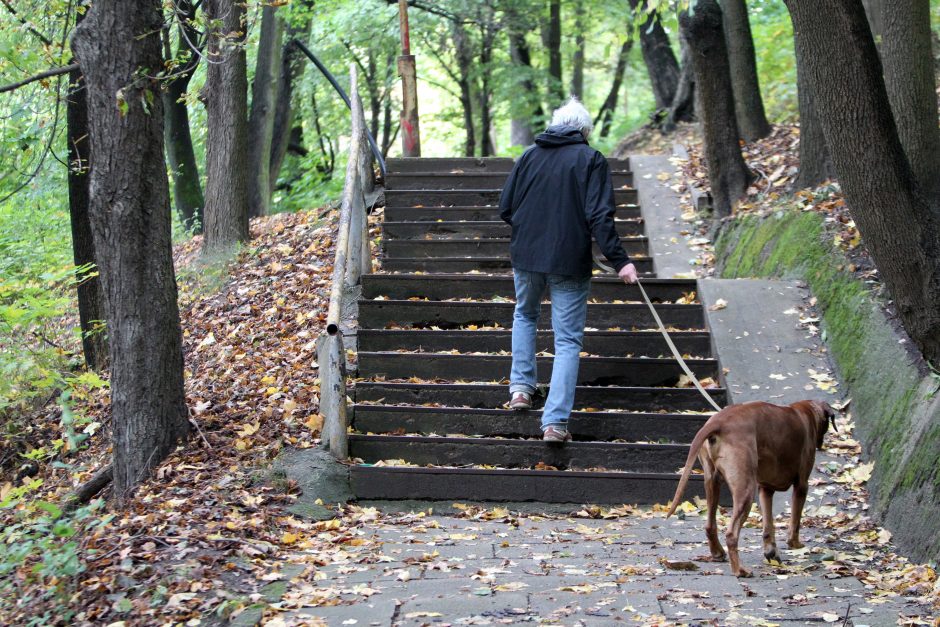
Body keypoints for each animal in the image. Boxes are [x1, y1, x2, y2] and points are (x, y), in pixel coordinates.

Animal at [664, 402, 840, 580]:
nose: (821, 444)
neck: (806, 411)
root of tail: (718, 421)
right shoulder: (802, 485)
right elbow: (795, 522)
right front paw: (796, 545)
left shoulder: (765, 489)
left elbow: (768, 525)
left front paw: (771, 551)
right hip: (746, 490)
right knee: (731, 535)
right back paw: (740, 570)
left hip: (712, 482)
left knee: (709, 525)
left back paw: (718, 553)